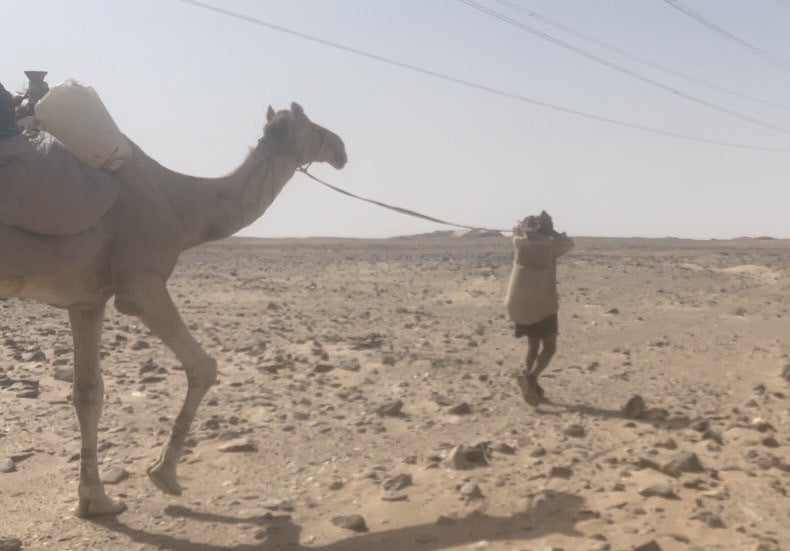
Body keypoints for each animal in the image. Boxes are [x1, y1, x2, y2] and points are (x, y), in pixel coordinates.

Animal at [0, 102, 347, 517]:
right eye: (313, 126)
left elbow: (88, 392)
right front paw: (164, 474)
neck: (178, 202)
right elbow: (204, 366)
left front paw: (96, 500)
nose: (341, 148)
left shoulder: (88, 299)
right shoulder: (141, 285)